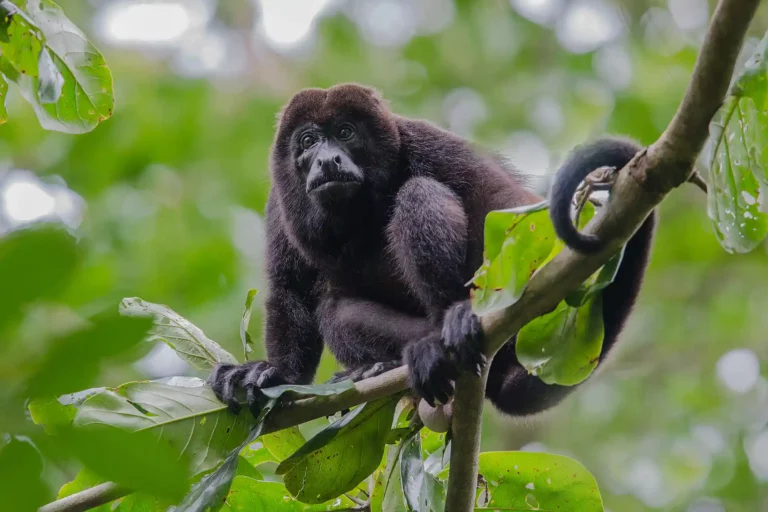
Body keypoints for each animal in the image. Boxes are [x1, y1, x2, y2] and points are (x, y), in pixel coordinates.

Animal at [208, 83, 655, 417]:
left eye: (346, 133)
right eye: (309, 140)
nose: (327, 160)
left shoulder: (425, 140)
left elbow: (500, 200)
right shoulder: (279, 202)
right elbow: (291, 289)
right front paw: (271, 374)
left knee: (419, 193)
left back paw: (450, 323)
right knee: (335, 311)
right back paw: (390, 363)